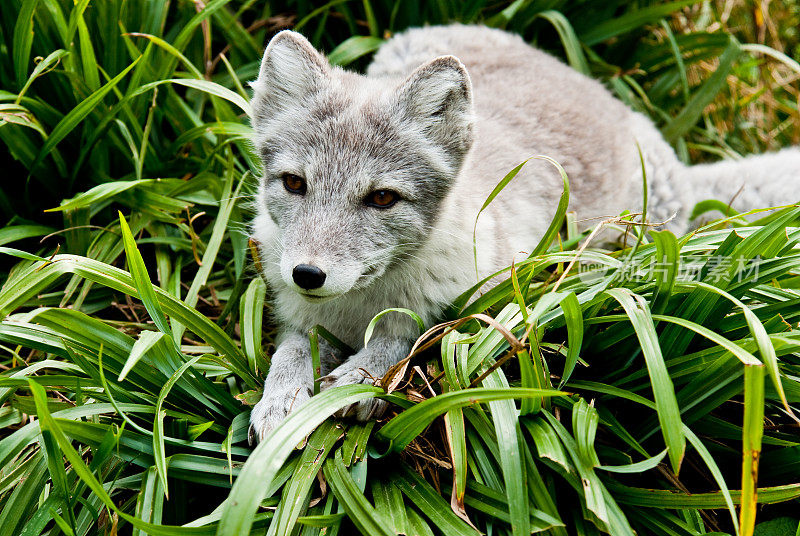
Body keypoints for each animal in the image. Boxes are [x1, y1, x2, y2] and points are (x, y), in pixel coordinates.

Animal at [248, 24, 800, 440]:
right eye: (295, 183)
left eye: (382, 198)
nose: (307, 274)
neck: (353, 312)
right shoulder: (298, 318)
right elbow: (289, 352)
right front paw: (281, 401)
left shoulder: (487, 308)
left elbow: (408, 335)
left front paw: (361, 378)